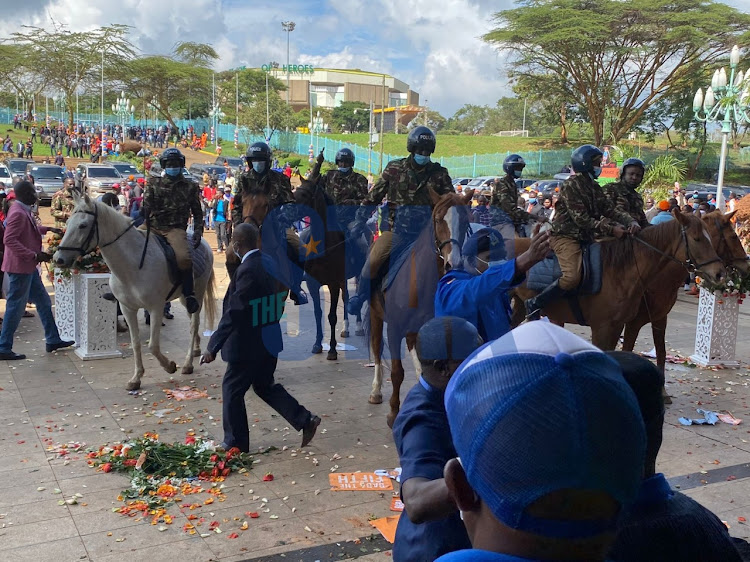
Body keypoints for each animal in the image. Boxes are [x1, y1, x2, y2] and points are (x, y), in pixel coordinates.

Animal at [52, 192, 217, 390]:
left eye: (83, 225)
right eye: (67, 222)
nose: (58, 259)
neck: (133, 265)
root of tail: (204, 243)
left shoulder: (155, 308)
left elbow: (153, 345)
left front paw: (169, 366)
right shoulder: (127, 309)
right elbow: (136, 343)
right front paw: (136, 378)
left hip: (196, 294)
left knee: (193, 325)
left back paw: (187, 364)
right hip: (185, 299)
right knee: (193, 323)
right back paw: (196, 350)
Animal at [368, 188, 472, 424]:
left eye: (465, 221)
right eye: (438, 219)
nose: (453, 263)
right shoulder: (394, 329)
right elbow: (397, 372)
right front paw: (394, 412)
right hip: (376, 316)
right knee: (377, 347)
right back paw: (376, 390)